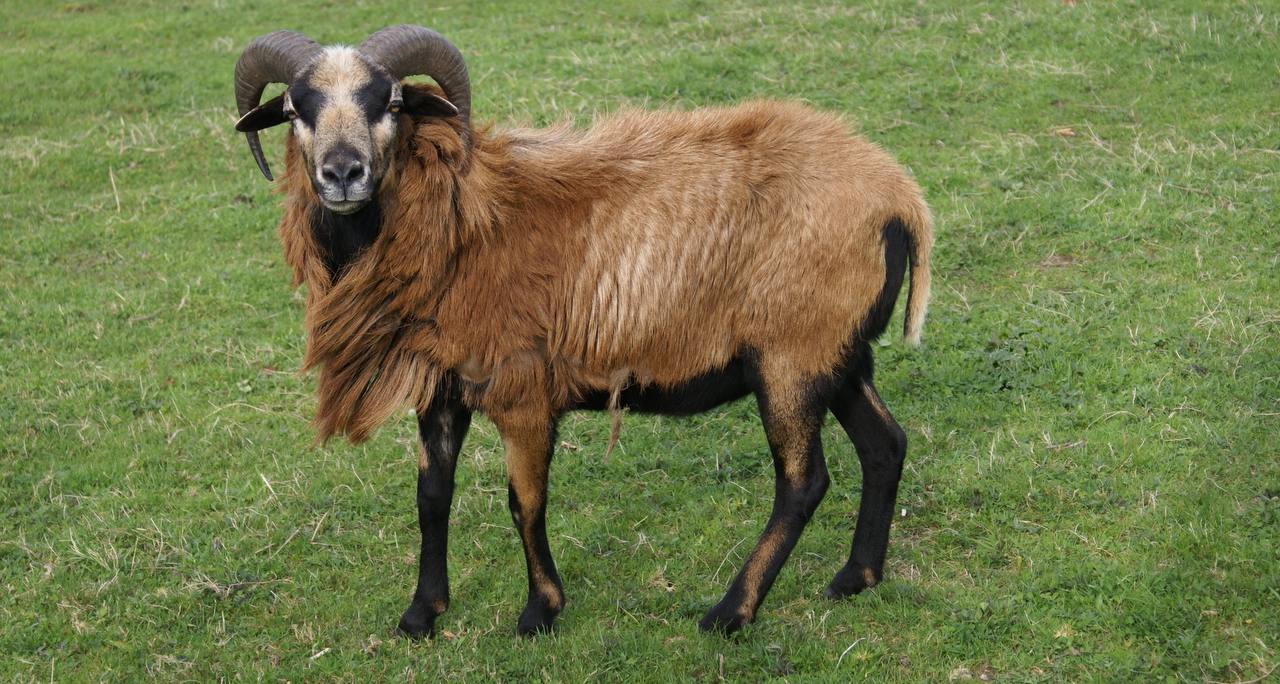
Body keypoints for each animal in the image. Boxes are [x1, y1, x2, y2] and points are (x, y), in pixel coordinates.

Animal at [233, 25, 934, 637]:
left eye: (392, 101)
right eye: (297, 107)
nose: (342, 173)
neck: (458, 221)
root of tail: (899, 195)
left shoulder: (523, 392)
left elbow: (525, 501)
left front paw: (539, 612)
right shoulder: (442, 387)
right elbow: (432, 496)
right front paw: (421, 614)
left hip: (790, 357)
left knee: (802, 483)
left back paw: (731, 612)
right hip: (838, 354)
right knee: (885, 444)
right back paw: (856, 577)